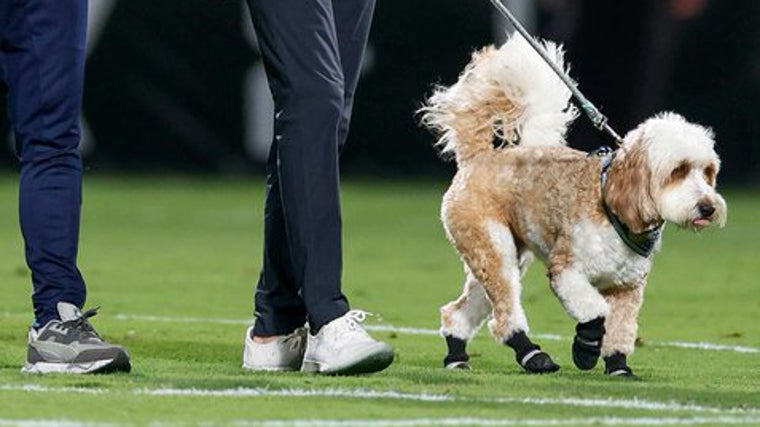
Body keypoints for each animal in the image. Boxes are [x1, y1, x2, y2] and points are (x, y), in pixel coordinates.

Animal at [418, 34, 728, 378]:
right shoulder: (566, 271)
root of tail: (479, 156)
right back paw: (532, 354)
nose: (707, 207)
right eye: (678, 170)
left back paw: (456, 355)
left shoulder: (628, 287)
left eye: (708, 171)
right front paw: (586, 347)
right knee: (505, 315)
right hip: (492, 249)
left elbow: (620, 329)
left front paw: (618, 366)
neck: (613, 207)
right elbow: (595, 313)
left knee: (460, 310)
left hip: (501, 256)